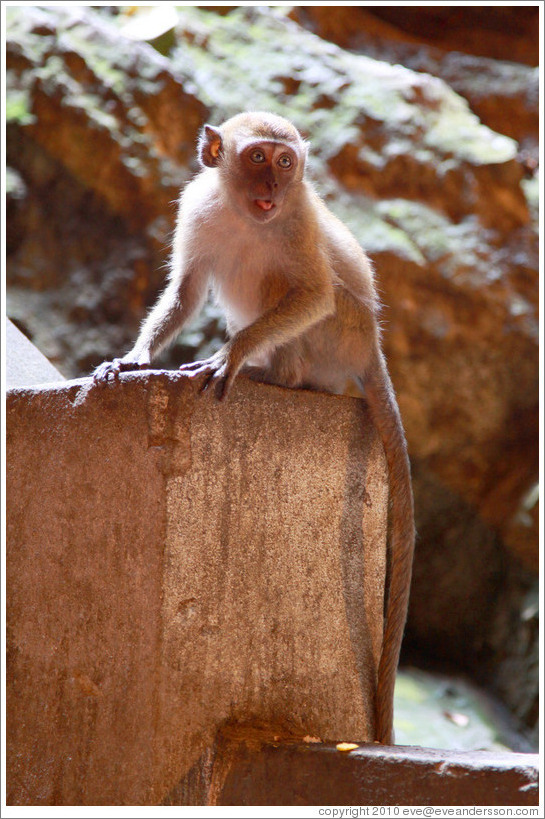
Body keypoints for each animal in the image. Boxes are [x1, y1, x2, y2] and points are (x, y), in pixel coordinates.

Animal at [95, 112, 414, 748]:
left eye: (286, 163)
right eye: (258, 158)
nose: (273, 187)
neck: (247, 215)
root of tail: (370, 348)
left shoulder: (297, 223)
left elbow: (313, 294)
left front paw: (232, 355)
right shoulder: (197, 208)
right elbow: (187, 289)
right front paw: (137, 356)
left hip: (340, 335)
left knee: (294, 291)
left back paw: (276, 377)